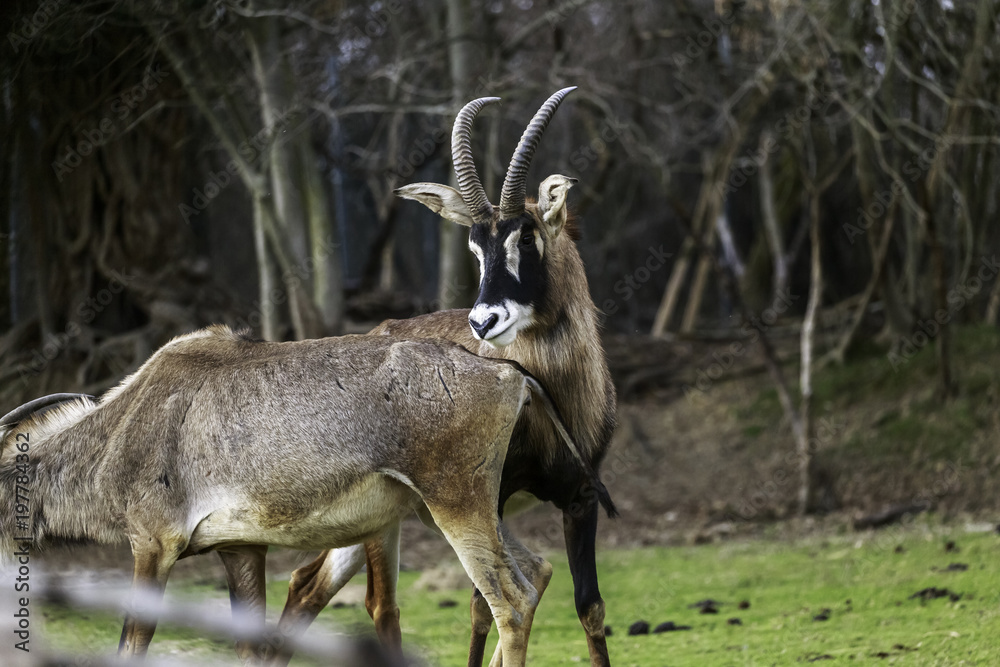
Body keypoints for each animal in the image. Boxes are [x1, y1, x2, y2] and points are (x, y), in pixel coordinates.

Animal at [1, 328, 600, 667]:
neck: (120, 429)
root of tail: (507, 372)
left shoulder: (153, 547)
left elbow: (132, 646)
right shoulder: (240, 549)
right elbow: (249, 648)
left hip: (457, 506)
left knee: (511, 600)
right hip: (445, 512)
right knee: (537, 572)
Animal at [270, 87, 620, 667]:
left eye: (527, 237)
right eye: (475, 246)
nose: (484, 321)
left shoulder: (580, 497)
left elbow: (589, 607)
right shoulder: (485, 501)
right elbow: (481, 609)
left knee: (305, 585)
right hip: (384, 517)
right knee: (378, 604)